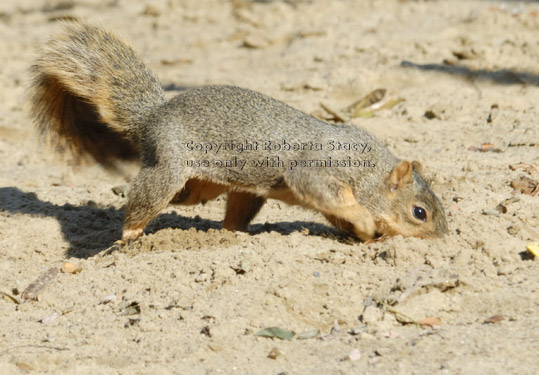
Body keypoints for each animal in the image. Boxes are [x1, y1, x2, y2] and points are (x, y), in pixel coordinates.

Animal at [31, 21, 450, 244]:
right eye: (420, 213)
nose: (442, 244)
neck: (371, 171)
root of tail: (153, 114)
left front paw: (366, 236)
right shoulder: (319, 171)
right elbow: (333, 196)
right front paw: (365, 223)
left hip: (218, 189)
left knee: (213, 210)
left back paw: (232, 237)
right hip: (169, 167)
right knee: (144, 201)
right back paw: (130, 234)